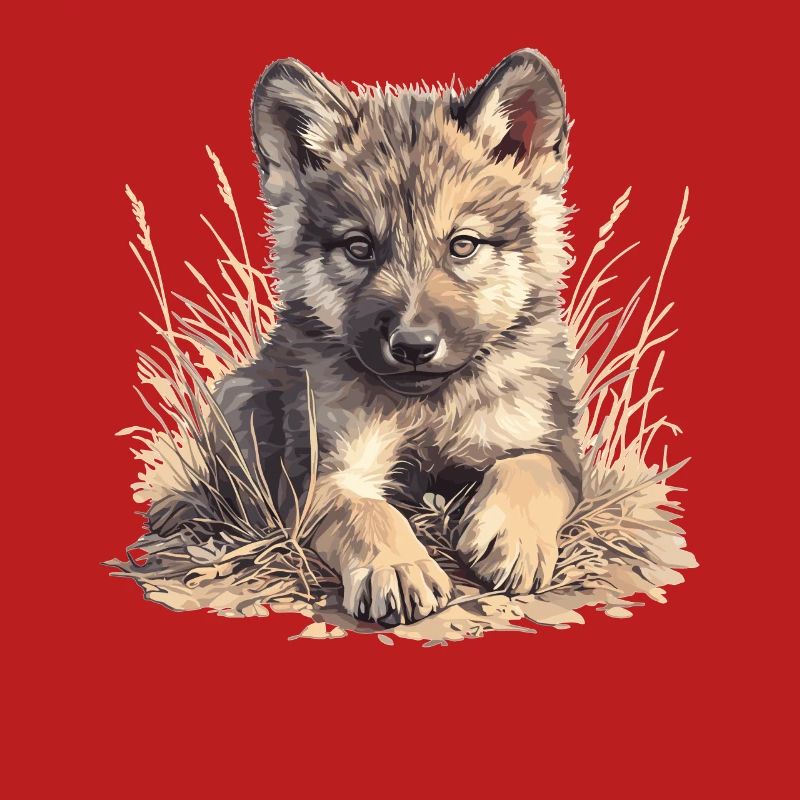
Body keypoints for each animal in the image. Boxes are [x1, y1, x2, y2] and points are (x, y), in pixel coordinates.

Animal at [149, 48, 581, 625]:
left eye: (463, 245)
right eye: (359, 248)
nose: (413, 346)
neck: (426, 408)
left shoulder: (549, 443)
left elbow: (529, 470)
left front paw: (512, 537)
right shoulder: (324, 471)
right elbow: (364, 511)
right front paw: (395, 566)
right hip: (235, 395)